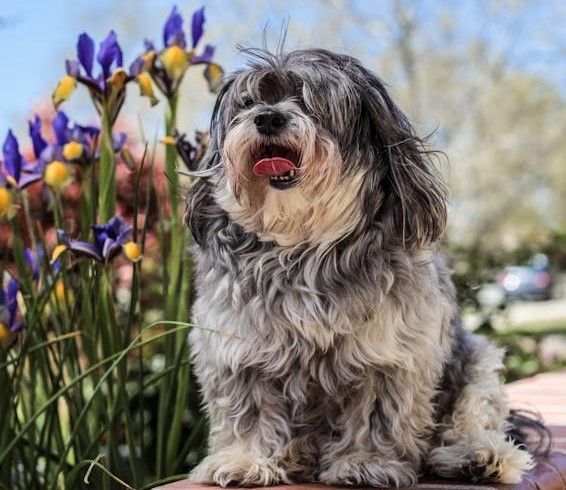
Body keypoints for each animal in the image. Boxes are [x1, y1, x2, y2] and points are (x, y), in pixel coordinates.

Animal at [185, 47, 536, 488]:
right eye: (248, 103)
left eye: (310, 101)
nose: (267, 117)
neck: (302, 245)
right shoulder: (238, 350)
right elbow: (248, 412)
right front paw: (246, 459)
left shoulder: (388, 355)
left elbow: (376, 415)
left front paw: (365, 462)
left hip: (478, 361)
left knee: (471, 417)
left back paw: (478, 456)